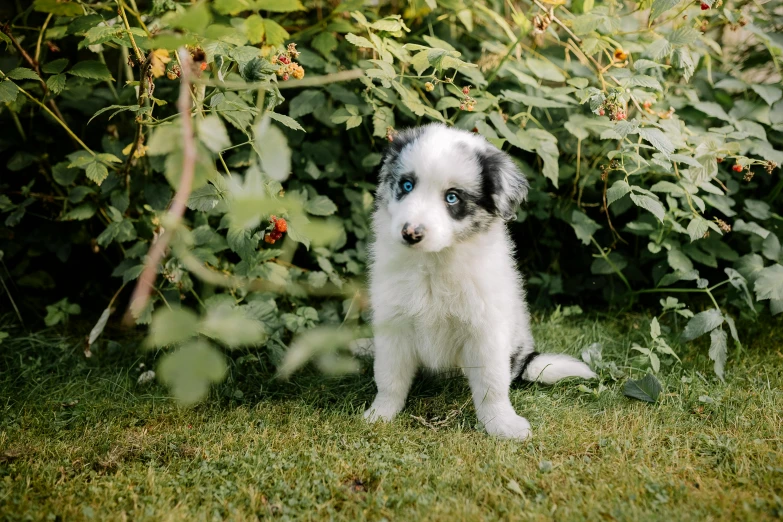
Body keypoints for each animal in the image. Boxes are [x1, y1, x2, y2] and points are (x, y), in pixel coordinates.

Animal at [364, 124, 596, 436]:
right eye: (407, 185)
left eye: (452, 197)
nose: (410, 233)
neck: (435, 263)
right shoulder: (394, 324)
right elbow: (390, 377)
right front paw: (380, 414)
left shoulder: (486, 330)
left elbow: (491, 385)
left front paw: (503, 424)